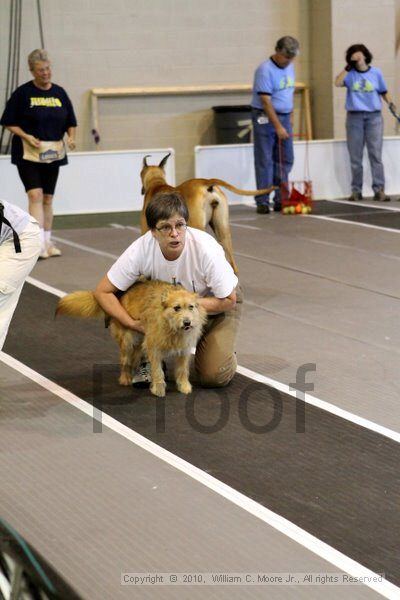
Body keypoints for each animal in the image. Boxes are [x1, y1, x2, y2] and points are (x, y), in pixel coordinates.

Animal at [56, 282, 206, 398]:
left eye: (191, 307)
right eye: (177, 308)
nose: (187, 322)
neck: (172, 328)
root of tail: (122, 294)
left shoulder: (184, 350)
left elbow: (182, 370)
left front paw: (184, 386)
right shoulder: (154, 348)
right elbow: (157, 371)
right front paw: (158, 388)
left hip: (139, 342)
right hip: (127, 341)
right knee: (125, 361)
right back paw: (125, 378)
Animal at [139, 155, 276, 276]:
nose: (141, 190)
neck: (157, 184)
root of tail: (206, 182)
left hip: (198, 226)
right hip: (222, 230)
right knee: (232, 264)